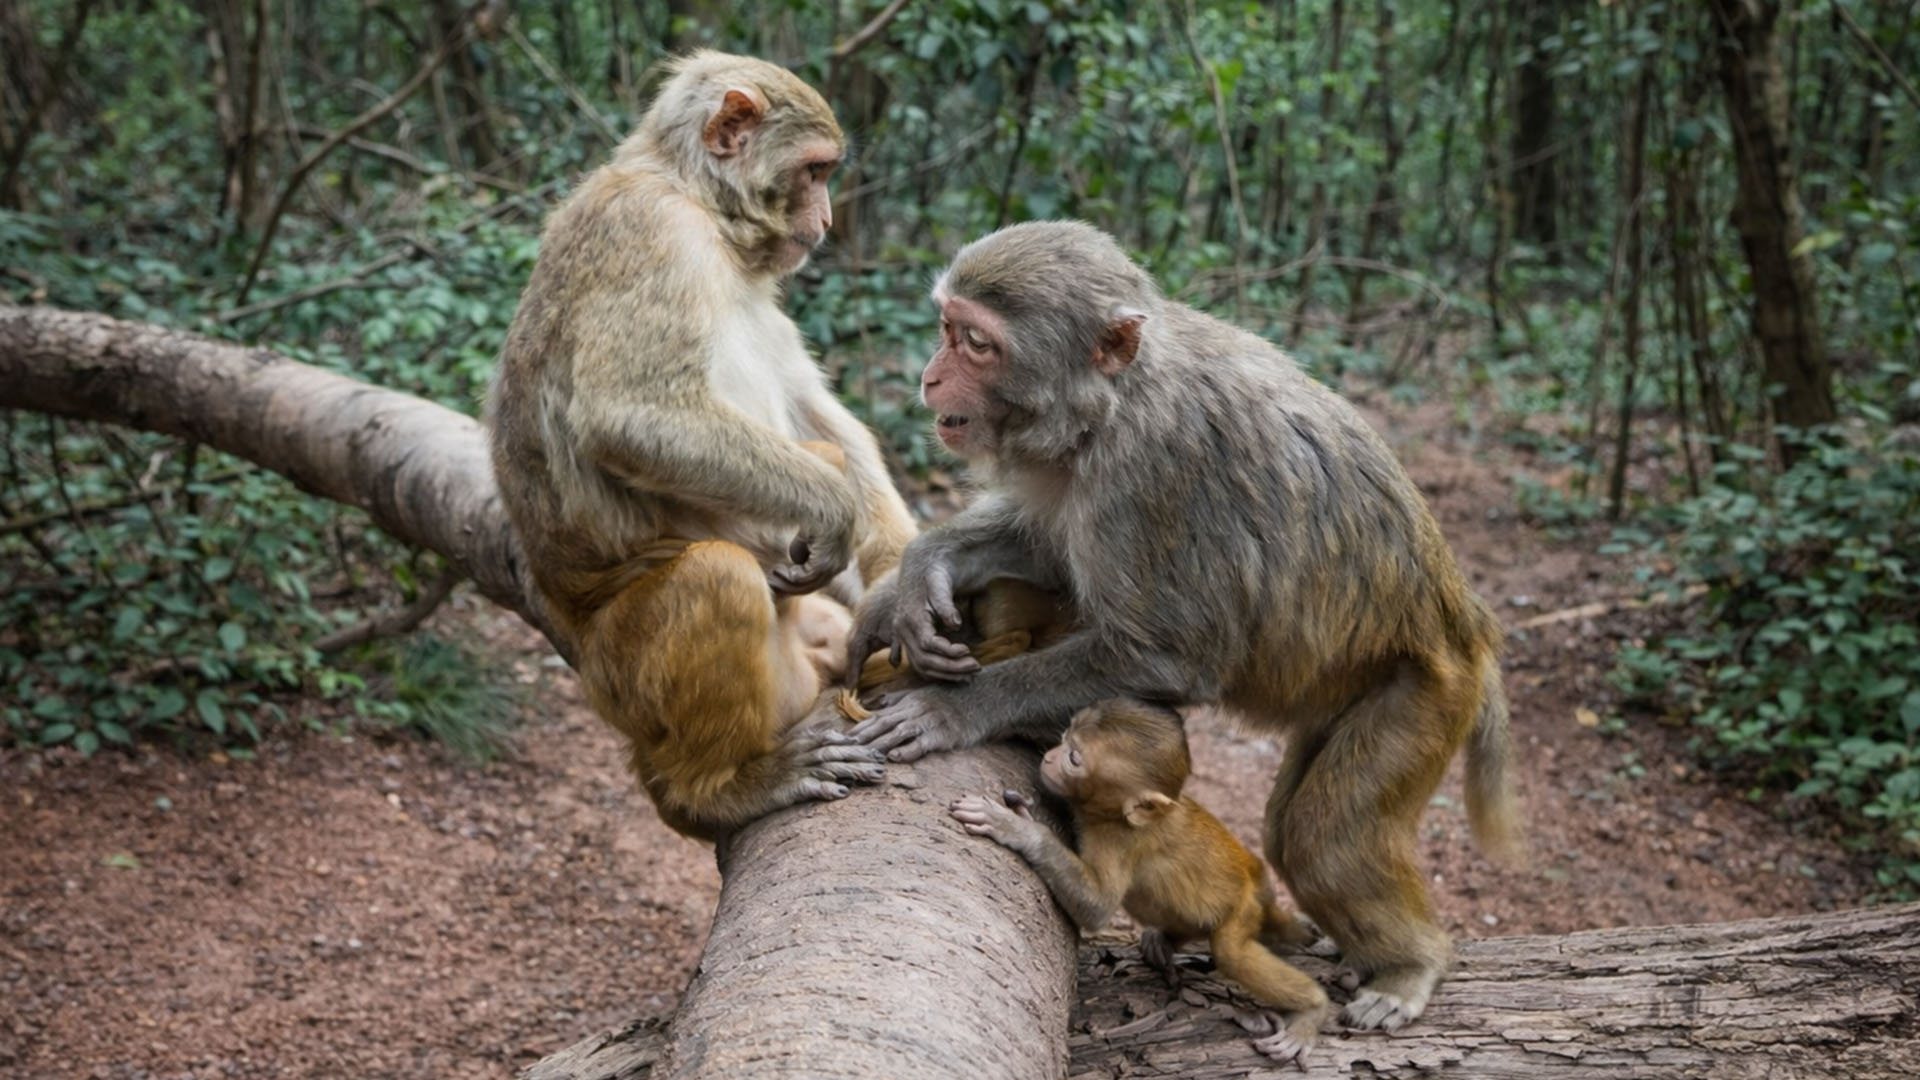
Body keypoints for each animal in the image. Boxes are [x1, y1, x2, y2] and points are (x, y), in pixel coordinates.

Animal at [486, 52, 919, 841]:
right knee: (715, 576)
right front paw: (835, 510)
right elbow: (626, 414)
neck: (704, 210)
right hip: (627, 681)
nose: (826, 220)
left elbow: (814, 410)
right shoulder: (650, 231)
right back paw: (719, 788)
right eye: (815, 172)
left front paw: (898, 575)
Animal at [950, 698, 1331, 1064]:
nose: (1049, 757)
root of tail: (1255, 875)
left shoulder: (1119, 841)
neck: (1115, 817)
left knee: (1231, 954)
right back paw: (1166, 940)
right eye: (1064, 737)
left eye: (1073, 758)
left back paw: (1312, 1009)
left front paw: (1015, 828)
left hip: (1245, 905)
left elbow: (1098, 907)